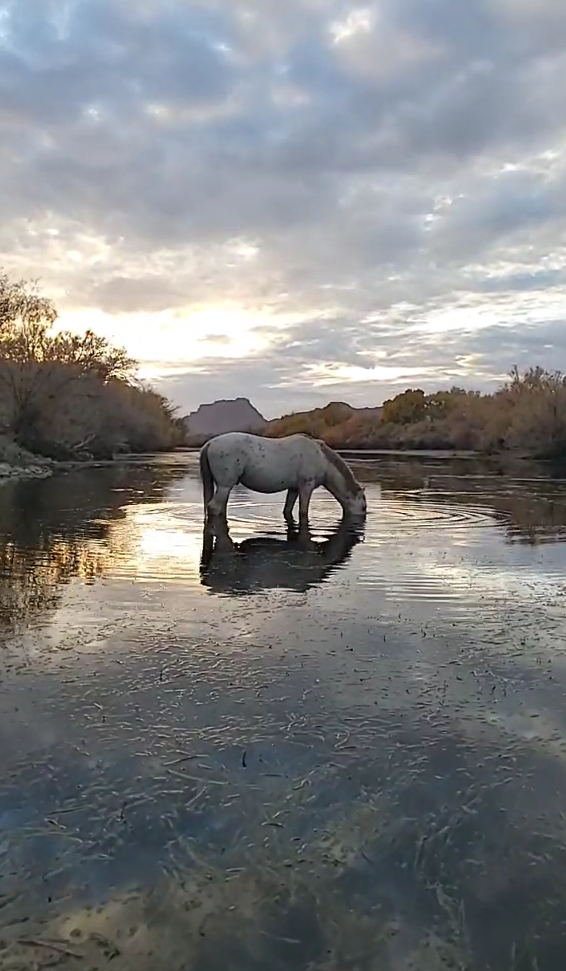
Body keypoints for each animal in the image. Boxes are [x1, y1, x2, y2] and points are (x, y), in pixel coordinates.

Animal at [200, 432, 368, 524]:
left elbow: (288, 510)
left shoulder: (293, 489)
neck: (322, 459)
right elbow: (303, 512)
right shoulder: (306, 486)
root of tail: (209, 443)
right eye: (364, 507)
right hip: (224, 486)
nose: (362, 520)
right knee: (214, 507)